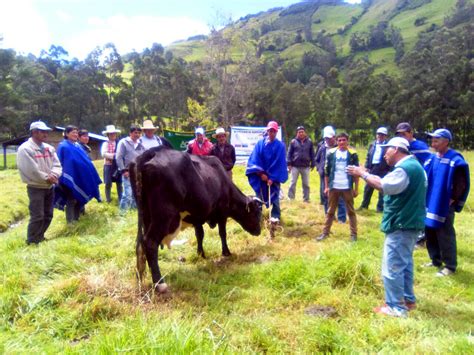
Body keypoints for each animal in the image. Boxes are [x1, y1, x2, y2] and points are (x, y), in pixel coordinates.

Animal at [130, 146, 262, 294]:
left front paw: (201, 254)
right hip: (163, 216)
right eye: (256, 213)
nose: (259, 230)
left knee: (140, 244)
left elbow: (200, 235)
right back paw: (160, 283)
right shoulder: (222, 213)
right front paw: (226, 252)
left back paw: (141, 277)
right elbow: (222, 233)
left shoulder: (197, 217)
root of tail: (151, 152)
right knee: (150, 243)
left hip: (146, 216)